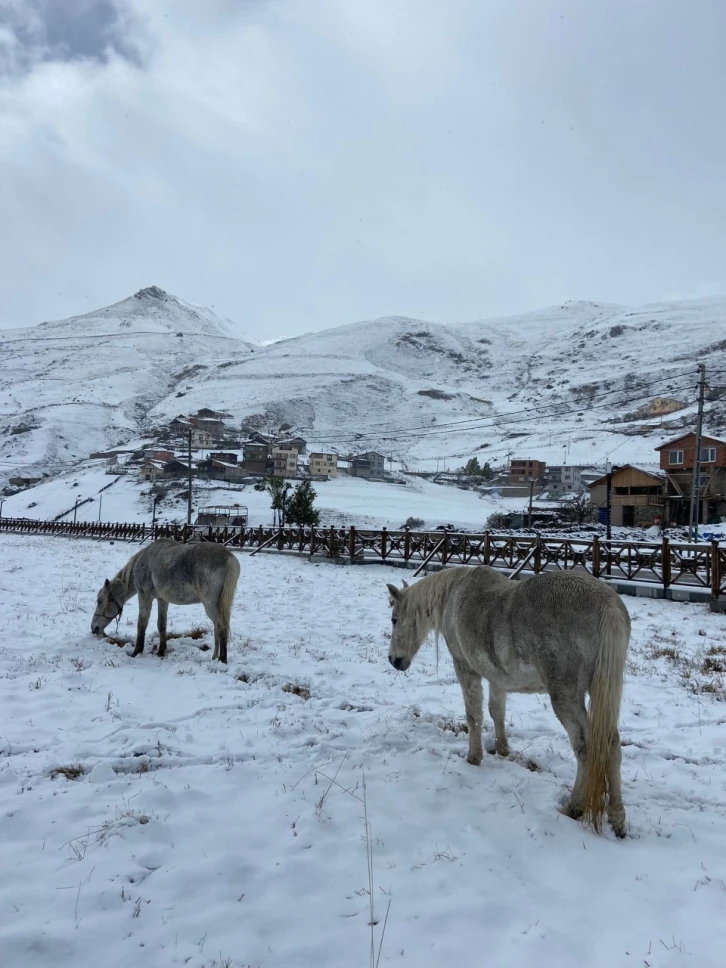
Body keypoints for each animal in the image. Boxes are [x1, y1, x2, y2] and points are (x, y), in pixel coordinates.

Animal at [91, 536, 242, 664]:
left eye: (99, 601)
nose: (94, 628)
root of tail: (229, 558)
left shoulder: (145, 596)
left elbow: (142, 624)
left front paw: (136, 652)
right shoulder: (162, 600)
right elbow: (161, 625)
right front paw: (161, 651)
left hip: (210, 605)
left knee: (221, 626)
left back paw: (222, 660)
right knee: (218, 627)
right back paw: (215, 657)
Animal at [390, 568, 636, 840]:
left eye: (394, 619)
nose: (394, 660)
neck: (455, 591)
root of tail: (607, 604)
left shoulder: (465, 669)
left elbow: (474, 715)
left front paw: (473, 758)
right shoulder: (497, 677)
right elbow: (496, 711)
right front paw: (502, 749)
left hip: (566, 696)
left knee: (585, 747)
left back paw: (573, 807)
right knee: (612, 746)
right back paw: (617, 818)